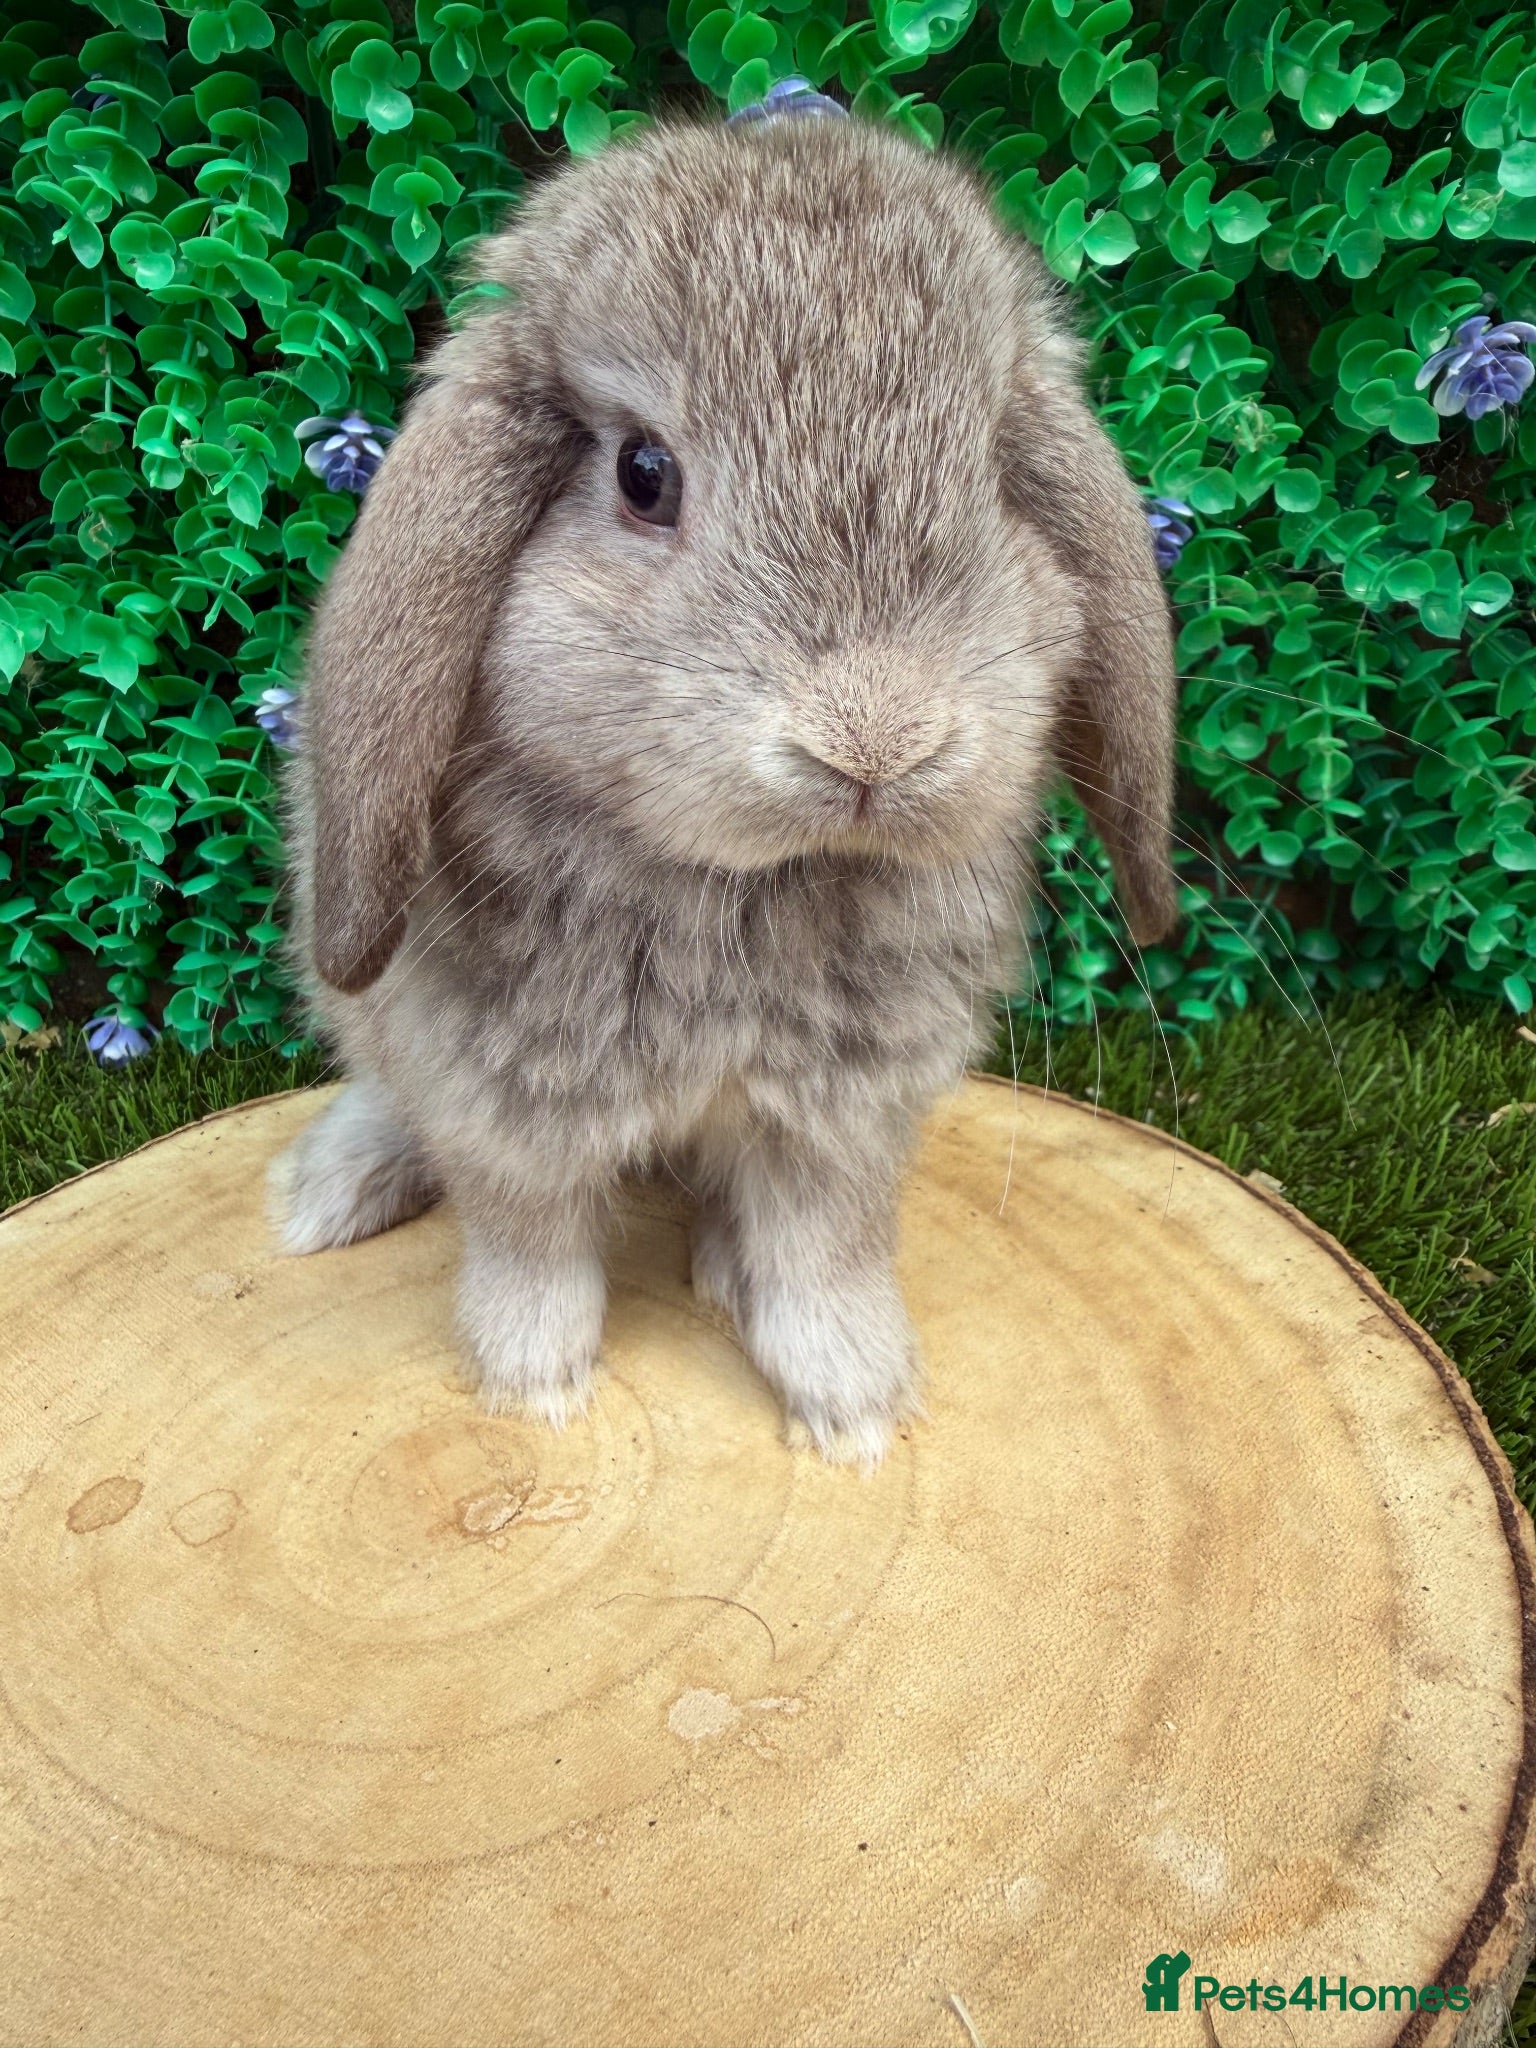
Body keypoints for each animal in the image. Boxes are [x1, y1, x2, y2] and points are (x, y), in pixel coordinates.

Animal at [272, 99, 1177, 1468]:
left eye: (989, 474)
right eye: (644, 473)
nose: (876, 738)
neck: (740, 887)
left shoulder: (841, 1114)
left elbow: (822, 1251)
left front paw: (854, 1407)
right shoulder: (502, 1099)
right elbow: (530, 1242)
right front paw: (533, 1386)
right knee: (383, 1090)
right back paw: (328, 1193)